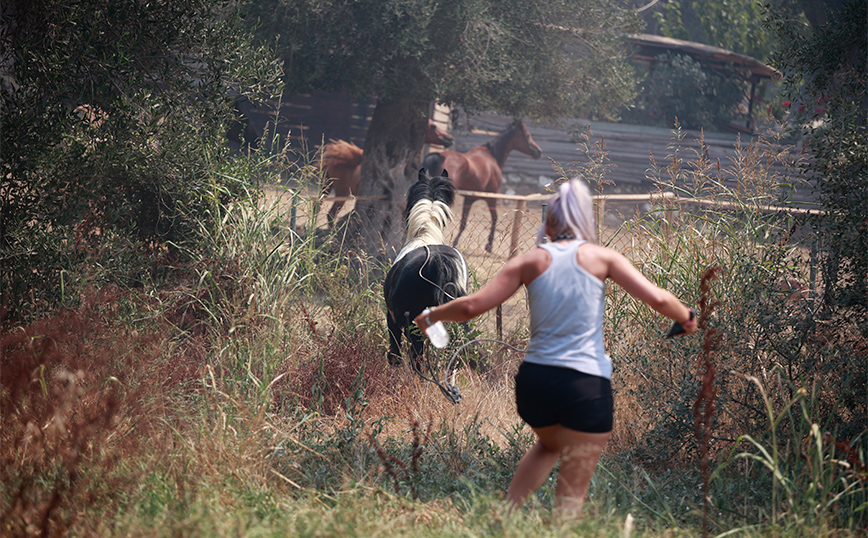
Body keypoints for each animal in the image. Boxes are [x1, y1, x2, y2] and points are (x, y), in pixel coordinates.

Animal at [383, 168, 469, 368]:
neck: (425, 234)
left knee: (416, 356)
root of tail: (437, 260)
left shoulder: (392, 319)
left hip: (413, 325)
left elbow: (395, 352)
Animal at [422, 119, 542, 253]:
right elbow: (494, 218)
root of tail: (438, 157)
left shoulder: (469, 199)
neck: (492, 156)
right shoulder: (491, 197)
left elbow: (463, 223)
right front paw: (489, 245)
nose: (538, 151)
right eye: (527, 135)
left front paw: (455, 243)